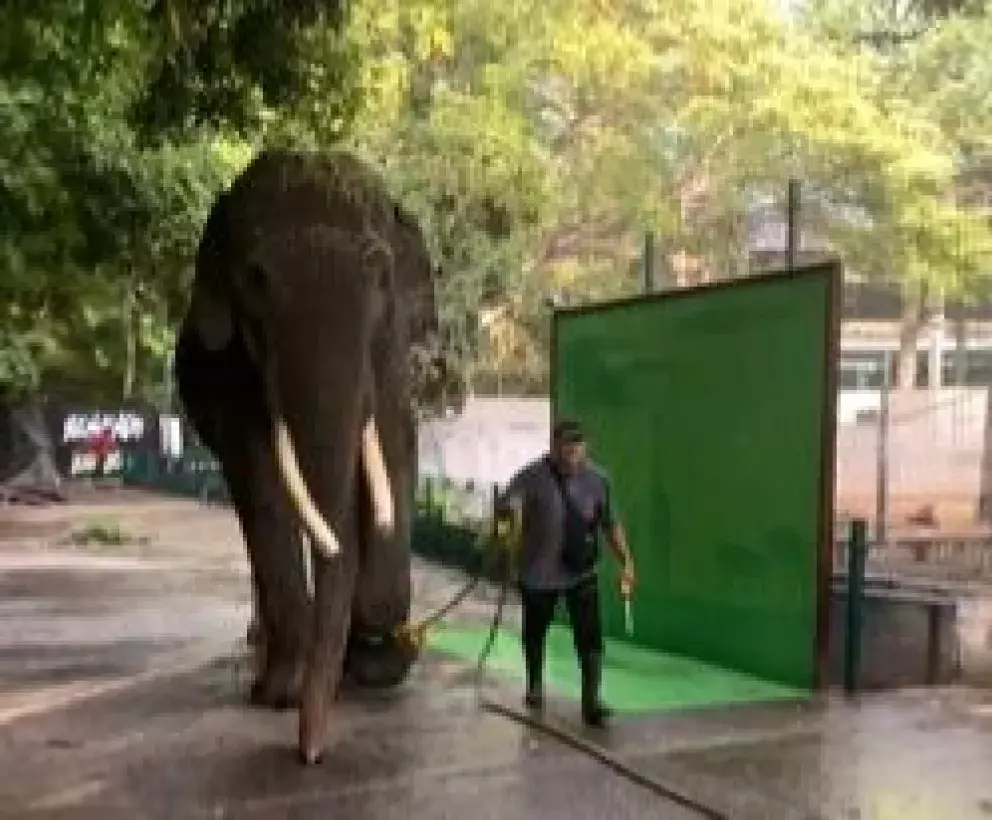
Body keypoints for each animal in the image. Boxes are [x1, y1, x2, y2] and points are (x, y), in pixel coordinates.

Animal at [174, 146, 446, 764]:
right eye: (255, 278)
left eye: (379, 272)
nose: (310, 754)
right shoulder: (234, 371)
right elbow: (260, 478)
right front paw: (280, 694)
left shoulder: (390, 350)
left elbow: (395, 445)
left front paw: (376, 651)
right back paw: (266, 656)